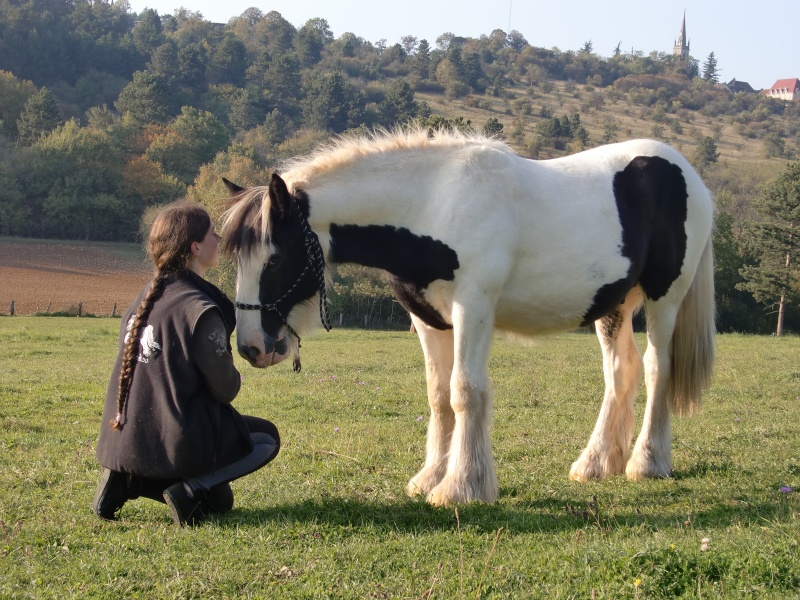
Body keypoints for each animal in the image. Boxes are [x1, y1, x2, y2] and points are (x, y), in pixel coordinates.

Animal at [219, 130, 712, 506]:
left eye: (275, 258)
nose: (252, 347)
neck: (432, 204)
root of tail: (686, 172)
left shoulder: (473, 307)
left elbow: (465, 391)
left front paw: (461, 486)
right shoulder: (428, 320)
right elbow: (439, 396)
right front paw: (429, 478)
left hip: (664, 298)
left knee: (656, 367)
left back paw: (647, 463)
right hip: (614, 307)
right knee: (620, 372)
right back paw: (595, 464)